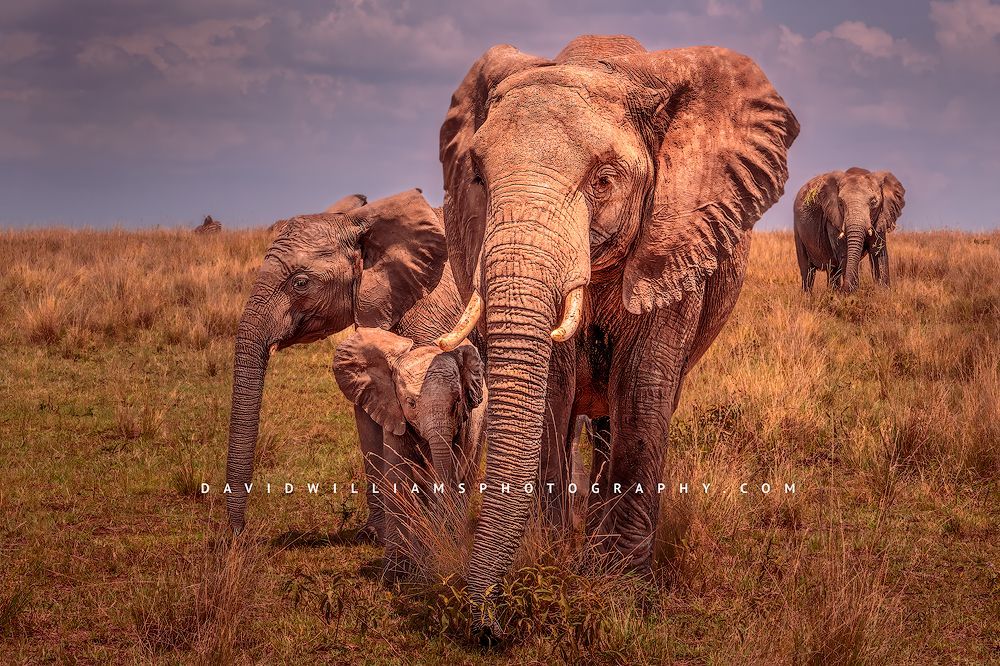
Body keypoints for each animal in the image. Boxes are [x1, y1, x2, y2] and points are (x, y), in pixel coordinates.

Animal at [224, 189, 464, 542]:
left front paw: (433, 532)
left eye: (300, 283)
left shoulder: (435, 316)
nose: (236, 534)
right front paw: (375, 535)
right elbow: (370, 416)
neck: (362, 222)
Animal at [332, 327, 485, 578]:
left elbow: (455, 475)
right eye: (411, 403)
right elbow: (398, 478)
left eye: (456, 403)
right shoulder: (393, 410)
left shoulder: (466, 423)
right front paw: (396, 573)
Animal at [434, 34, 799, 638]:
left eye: (604, 180)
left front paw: (619, 591)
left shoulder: (674, 243)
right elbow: (552, 392)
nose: (491, 621)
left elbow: (643, 388)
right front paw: (551, 560)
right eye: (478, 178)